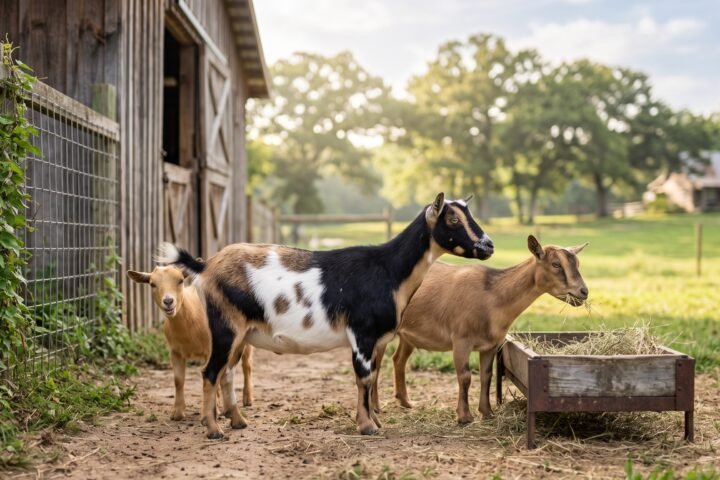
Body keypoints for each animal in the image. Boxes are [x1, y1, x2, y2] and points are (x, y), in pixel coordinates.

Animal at [127, 266, 254, 426]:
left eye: (180, 280)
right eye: (152, 284)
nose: (168, 301)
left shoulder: (210, 350)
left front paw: (213, 412)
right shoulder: (175, 352)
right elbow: (178, 380)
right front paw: (177, 413)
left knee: (246, 365)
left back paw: (247, 399)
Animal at [157, 193, 494, 438]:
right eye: (452, 218)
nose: (488, 245)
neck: (388, 270)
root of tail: (205, 265)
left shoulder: (376, 341)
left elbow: (372, 378)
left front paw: (374, 422)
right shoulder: (362, 334)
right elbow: (363, 378)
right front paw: (367, 426)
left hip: (240, 334)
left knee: (226, 372)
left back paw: (238, 422)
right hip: (225, 327)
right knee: (210, 372)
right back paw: (214, 430)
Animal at [372, 235, 588, 424]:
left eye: (577, 263)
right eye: (556, 264)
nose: (583, 292)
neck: (492, 298)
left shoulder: (490, 345)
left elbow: (486, 376)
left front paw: (487, 412)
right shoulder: (461, 340)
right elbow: (465, 377)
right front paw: (464, 417)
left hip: (407, 335)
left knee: (398, 359)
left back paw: (406, 402)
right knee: (376, 365)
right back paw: (375, 407)